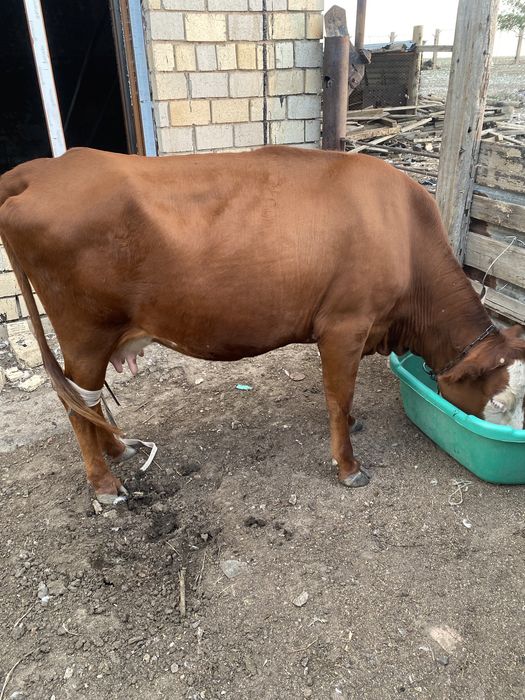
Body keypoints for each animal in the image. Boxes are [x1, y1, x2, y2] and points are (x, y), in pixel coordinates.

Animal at [1, 146, 524, 504]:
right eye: (500, 402)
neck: (403, 233)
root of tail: (41, 169)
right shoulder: (344, 325)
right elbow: (338, 396)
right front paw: (348, 465)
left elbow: (345, 397)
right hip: (84, 332)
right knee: (75, 405)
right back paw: (105, 484)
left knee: (86, 401)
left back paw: (119, 449)